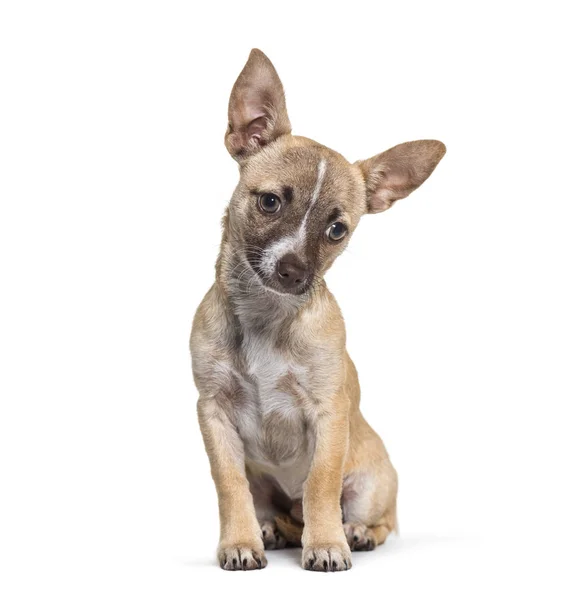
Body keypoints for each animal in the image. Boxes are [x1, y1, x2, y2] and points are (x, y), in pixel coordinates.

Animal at [189, 49, 444, 568]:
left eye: (337, 231)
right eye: (269, 202)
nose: (293, 270)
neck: (267, 317)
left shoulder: (329, 416)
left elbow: (321, 485)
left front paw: (326, 543)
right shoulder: (214, 413)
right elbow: (229, 486)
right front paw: (240, 541)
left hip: (372, 483)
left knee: (372, 519)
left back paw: (352, 532)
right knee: (282, 512)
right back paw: (271, 529)